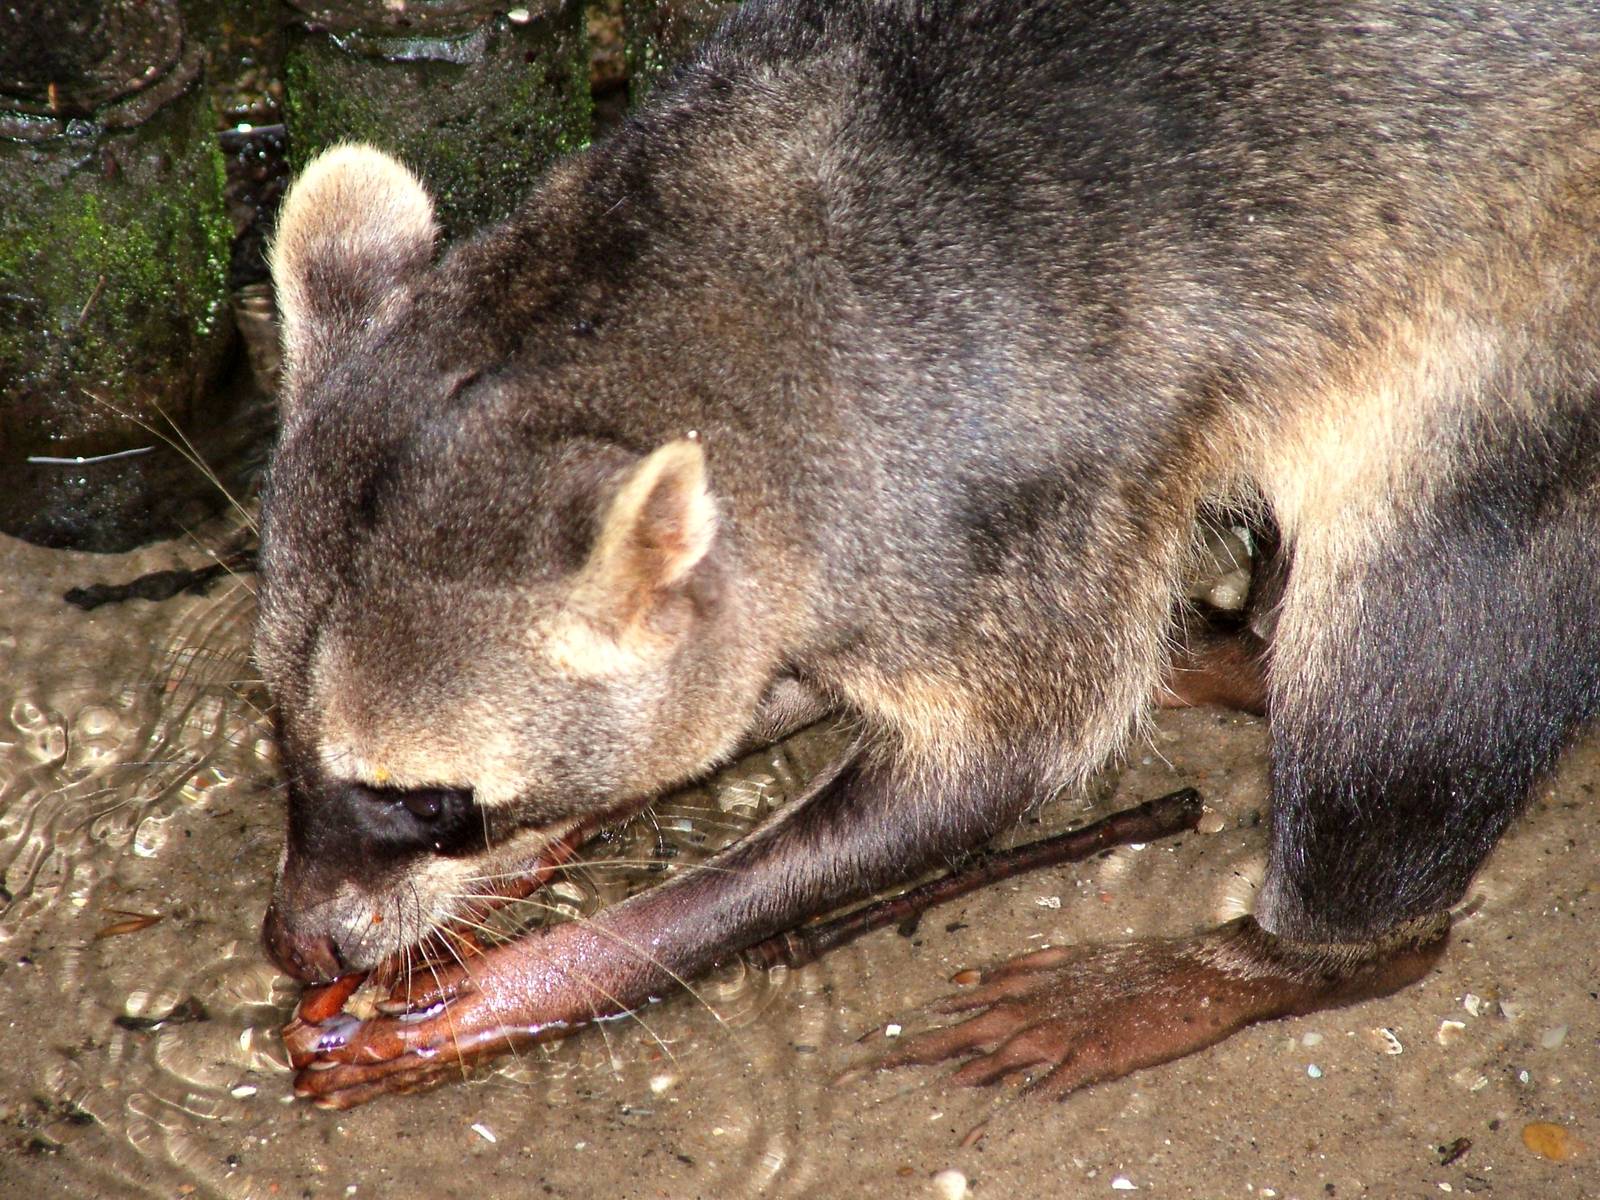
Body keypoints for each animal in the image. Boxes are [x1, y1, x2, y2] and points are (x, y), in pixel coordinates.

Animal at [257, 0, 1600, 1107]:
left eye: (432, 804)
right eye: (281, 742)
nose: (293, 941)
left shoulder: (1008, 508)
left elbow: (989, 765)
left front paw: (573, 962)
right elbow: (752, 686)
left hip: (1505, 340)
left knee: (1417, 647)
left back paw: (1296, 948)